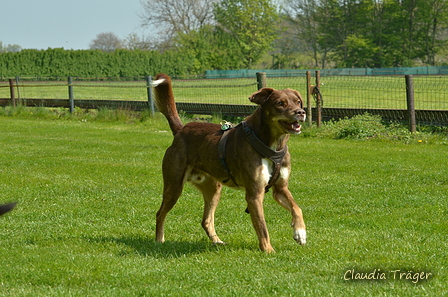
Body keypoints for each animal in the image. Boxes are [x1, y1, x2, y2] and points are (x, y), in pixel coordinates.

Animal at [153, 74, 304, 252]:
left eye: (298, 102)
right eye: (280, 103)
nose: (301, 112)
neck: (272, 145)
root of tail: (181, 130)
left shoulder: (280, 189)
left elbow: (297, 208)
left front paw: (300, 233)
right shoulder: (254, 194)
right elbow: (262, 227)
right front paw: (268, 250)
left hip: (213, 189)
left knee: (206, 220)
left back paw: (217, 241)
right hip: (174, 186)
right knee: (160, 213)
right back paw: (159, 240)